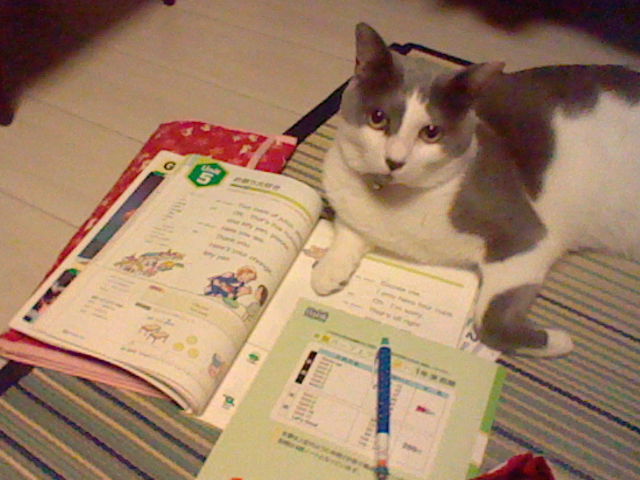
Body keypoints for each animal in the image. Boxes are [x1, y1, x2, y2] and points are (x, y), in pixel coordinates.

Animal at [310, 22, 640, 357]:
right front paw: (327, 270)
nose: (394, 160)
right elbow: (349, 228)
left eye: (431, 132)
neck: (393, 200)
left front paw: (560, 341)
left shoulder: (527, 237)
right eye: (378, 118)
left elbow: (487, 323)